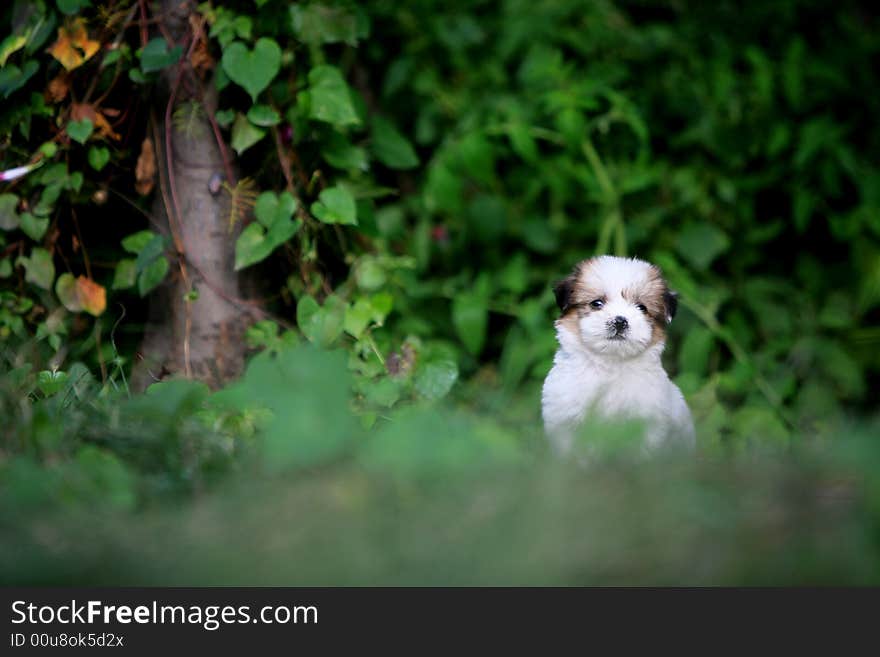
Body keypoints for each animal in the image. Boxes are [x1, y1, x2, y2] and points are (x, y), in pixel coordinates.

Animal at [544, 255, 696, 452]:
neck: (611, 364)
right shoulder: (564, 422)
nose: (620, 321)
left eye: (641, 307)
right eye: (597, 303)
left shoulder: (648, 426)